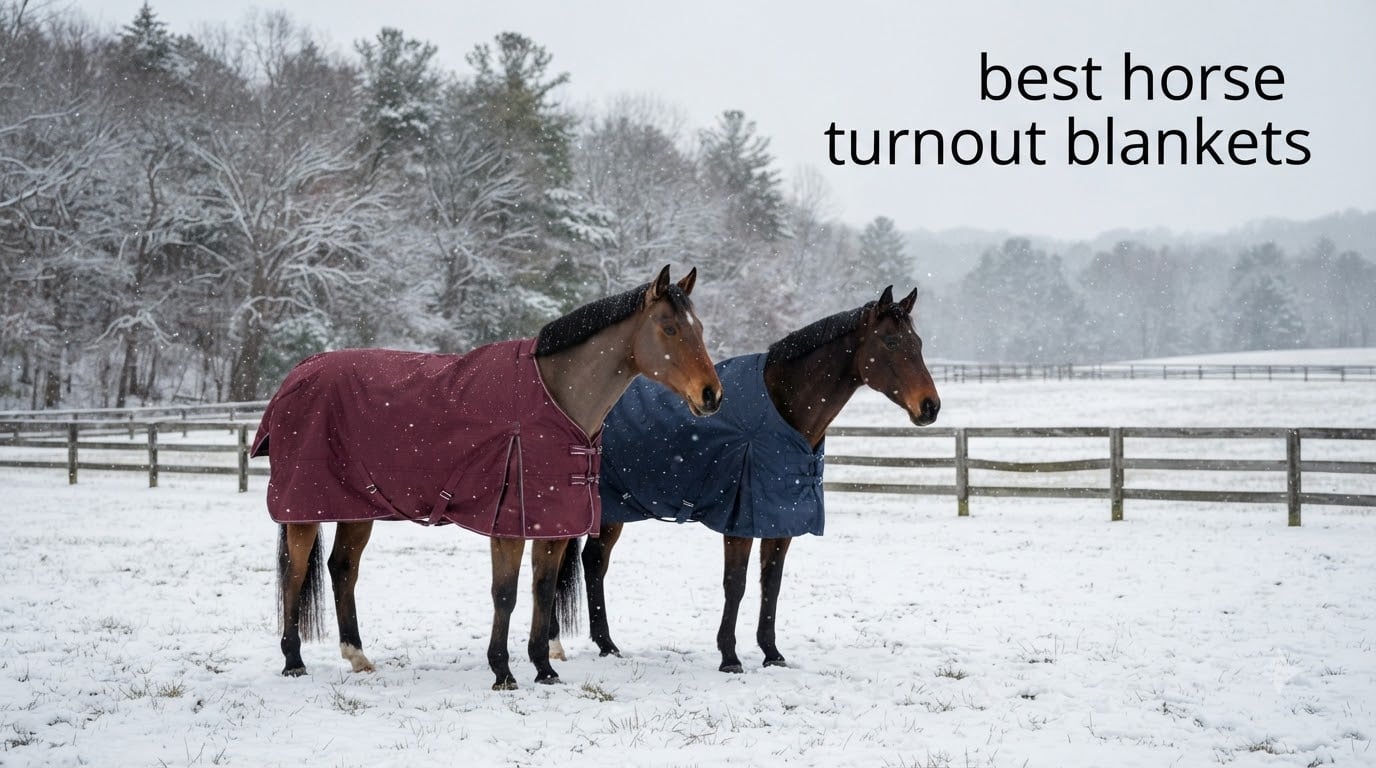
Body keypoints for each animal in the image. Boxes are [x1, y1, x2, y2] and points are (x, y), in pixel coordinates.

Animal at [251, 265, 722, 689]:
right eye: (668, 328)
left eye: (699, 326)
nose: (712, 395)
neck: (554, 398)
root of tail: (296, 375)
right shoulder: (509, 525)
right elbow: (506, 593)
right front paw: (503, 672)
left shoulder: (551, 525)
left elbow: (542, 590)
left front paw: (544, 669)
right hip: (304, 509)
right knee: (294, 574)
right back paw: (293, 661)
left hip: (357, 508)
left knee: (342, 568)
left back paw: (357, 656)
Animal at [550, 286, 939, 672]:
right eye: (890, 340)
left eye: (918, 342)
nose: (930, 407)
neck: (781, 410)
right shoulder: (739, 521)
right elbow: (735, 584)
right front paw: (729, 657)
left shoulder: (779, 520)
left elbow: (772, 583)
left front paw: (772, 653)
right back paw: (556, 645)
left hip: (612, 513)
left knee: (594, 562)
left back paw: (607, 645)